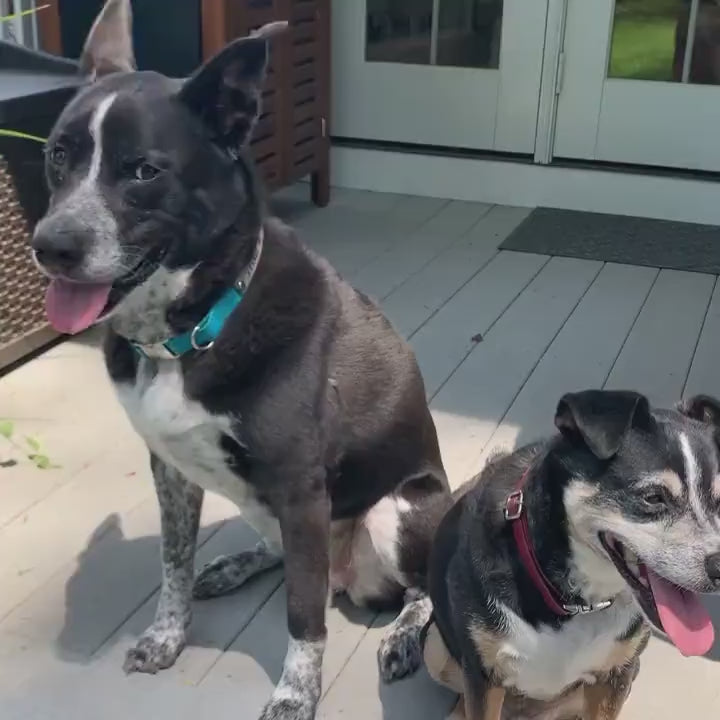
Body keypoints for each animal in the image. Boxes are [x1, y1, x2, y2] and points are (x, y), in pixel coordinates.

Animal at [33, 2, 452, 716]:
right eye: (58, 156)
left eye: (144, 171)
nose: (49, 246)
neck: (190, 331)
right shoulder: (170, 466)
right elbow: (172, 562)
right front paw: (166, 638)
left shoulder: (301, 487)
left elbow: (304, 618)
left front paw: (294, 695)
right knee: (282, 556)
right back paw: (234, 566)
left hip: (396, 510)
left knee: (414, 589)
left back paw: (400, 636)